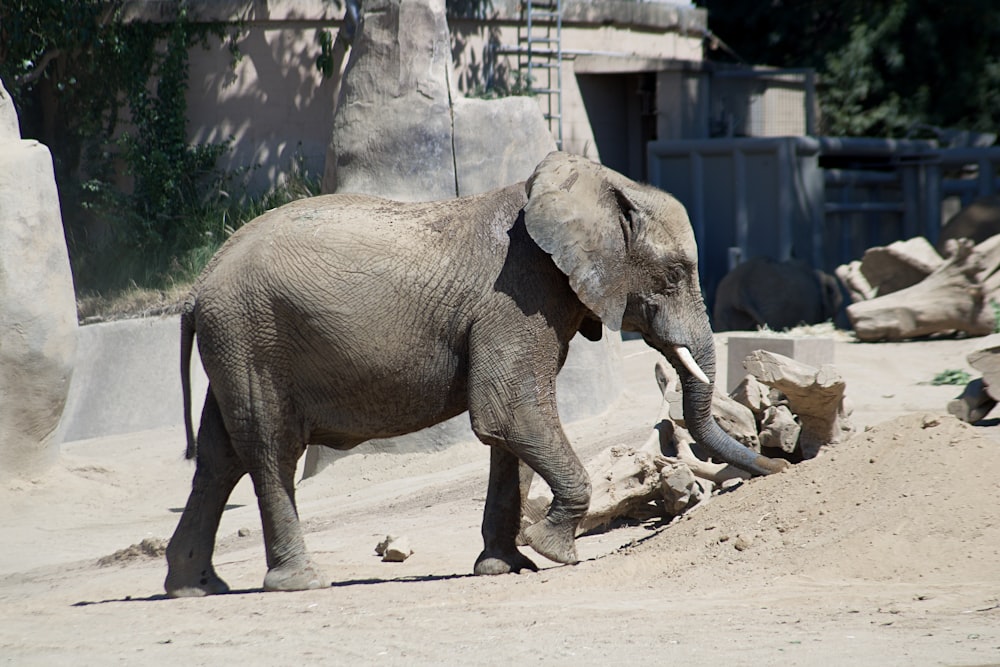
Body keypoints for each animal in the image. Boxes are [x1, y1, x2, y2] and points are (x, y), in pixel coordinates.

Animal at [164, 153, 788, 600]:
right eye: (676, 273)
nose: (780, 468)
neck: (591, 183)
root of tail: (196, 289)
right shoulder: (516, 297)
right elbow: (511, 414)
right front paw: (554, 553)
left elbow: (508, 432)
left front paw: (507, 567)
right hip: (254, 338)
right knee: (269, 450)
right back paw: (300, 583)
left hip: (237, 343)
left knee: (220, 458)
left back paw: (195, 588)